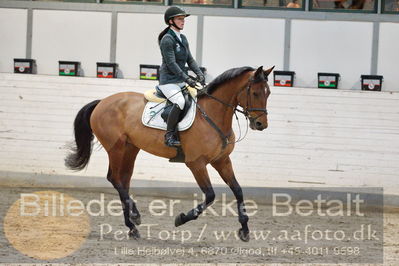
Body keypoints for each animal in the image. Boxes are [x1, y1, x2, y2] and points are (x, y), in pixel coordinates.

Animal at [65, 65, 276, 242]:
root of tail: (102, 102)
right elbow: (210, 195)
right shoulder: (196, 163)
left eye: (268, 93)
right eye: (255, 92)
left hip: (130, 148)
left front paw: (245, 230)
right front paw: (181, 218)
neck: (212, 115)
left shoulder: (222, 160)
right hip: (115, 148)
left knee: (123, 180)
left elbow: (238, 190)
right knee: (114, 178)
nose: (261, 124)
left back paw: (132, 226)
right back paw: (135, 216)